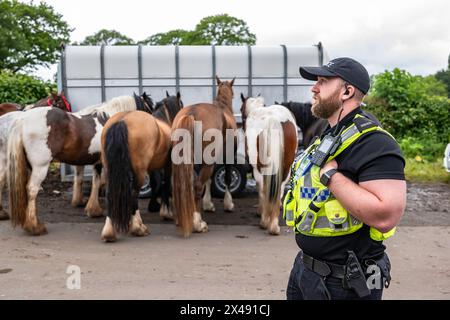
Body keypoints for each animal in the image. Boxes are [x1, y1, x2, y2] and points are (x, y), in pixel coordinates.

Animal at [6, 92, 154, 235]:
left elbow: (96, 182)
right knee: (32, 190)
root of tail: (22, 120)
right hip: (40, 166)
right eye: (149, 109)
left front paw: (93, 209)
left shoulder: (98, 162)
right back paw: (34, 227)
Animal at [100, 91, 183, 241]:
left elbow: (156, 183)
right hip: (139, 172)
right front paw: (165, 212)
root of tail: (122, 121)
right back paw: (138, 227)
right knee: (134, 194)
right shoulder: (167, 165)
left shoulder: (151, 168)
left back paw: (109, 231)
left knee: (109, 193)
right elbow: (165, 184)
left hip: (110, 169)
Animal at [171, 76, 237, 238]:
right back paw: (198, 223)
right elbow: (227, 178)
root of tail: (191, 114)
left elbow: (209, 180)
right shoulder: (228, 156)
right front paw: (228, 204)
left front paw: (208, 204)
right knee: (197, 186)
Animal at [239, 94, 298, 234]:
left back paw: (265, 222)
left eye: (241, 109)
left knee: (262, 188)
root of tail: (273, 119)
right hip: (287, 167)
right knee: (280, 188)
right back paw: (274, 225)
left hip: (258, 168)